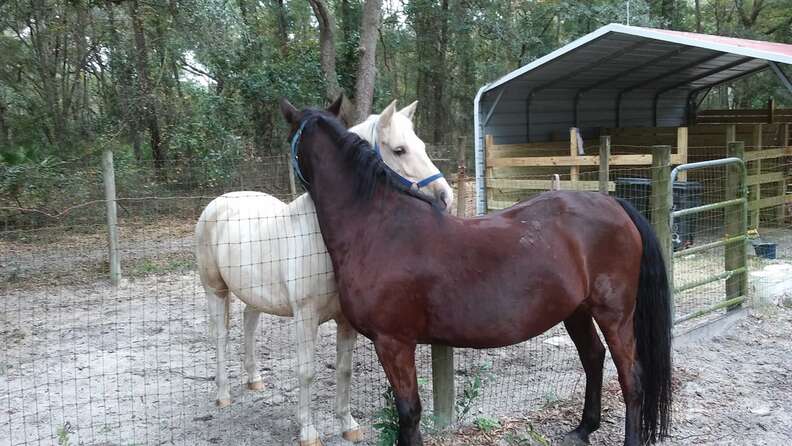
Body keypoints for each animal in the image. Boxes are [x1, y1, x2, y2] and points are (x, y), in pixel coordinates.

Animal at [195, 100, 452, 446]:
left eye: (421, 146)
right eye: (399, 150)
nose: (445, 197)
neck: (325, 240)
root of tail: (218, 203)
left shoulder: (345, 321)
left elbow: (344, 369)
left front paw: (348, 424)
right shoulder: (305, 317)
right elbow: (306, 371)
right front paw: (308, 431)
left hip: (254, 295)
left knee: (249, 324)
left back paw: (254, 379)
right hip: (215, 290)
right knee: (220, 336)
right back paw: (223, 395)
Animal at [282, 101, 672, 446]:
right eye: (400, 149)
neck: (378, 226)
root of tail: (614, 203)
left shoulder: (393, 342)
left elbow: (408, 413)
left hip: (615, 315)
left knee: (631, 378)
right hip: (576, 310)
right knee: (593, 358)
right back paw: (583, 429)